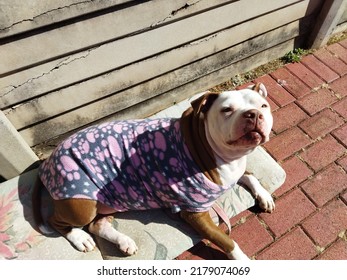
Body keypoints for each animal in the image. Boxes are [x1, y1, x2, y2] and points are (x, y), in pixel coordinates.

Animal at [34, 82, 276, 260]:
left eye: (263, 106)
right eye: (227, 110)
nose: (253, 114)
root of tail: (48, 161)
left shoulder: (233, 172)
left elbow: (250, 176)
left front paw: (264, 195)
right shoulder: (195, 212)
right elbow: (227, 240)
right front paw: (241, 258)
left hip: (109, 199)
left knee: (97, 224)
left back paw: (124, 242)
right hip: (81, 204)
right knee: (58, 222)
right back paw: (79, 238)